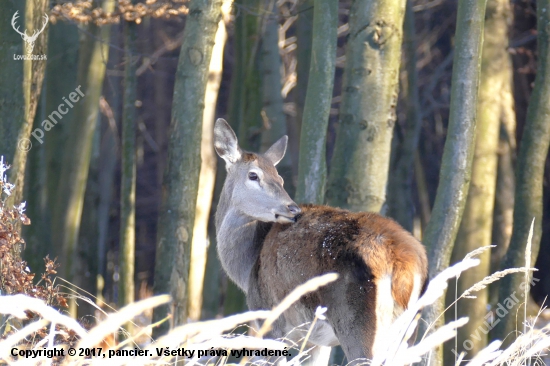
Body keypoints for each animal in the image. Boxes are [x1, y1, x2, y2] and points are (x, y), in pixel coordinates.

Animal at [216, 118, 432, 364]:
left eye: (279, 178)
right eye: (253, 175)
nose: (293, 208)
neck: (248, 268)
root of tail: (405, 262)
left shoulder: (268, 318)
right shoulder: (317, 341)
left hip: (356, 323)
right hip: (408, 330)